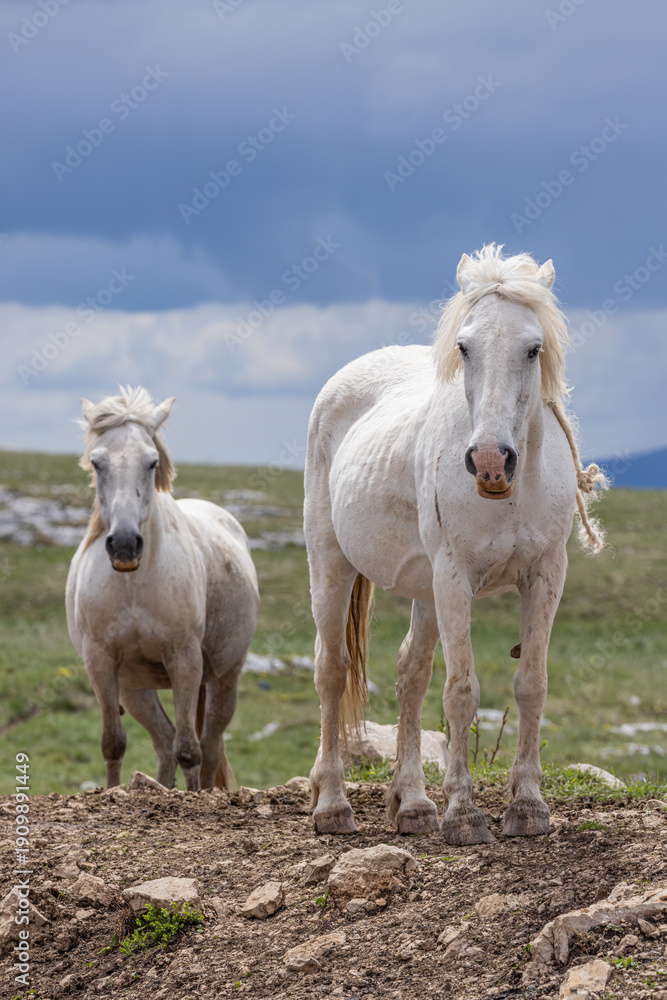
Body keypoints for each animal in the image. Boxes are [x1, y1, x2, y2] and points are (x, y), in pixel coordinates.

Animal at [66, 387, 259, 791]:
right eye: (97, 463)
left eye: (152, 461)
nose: (125, 545)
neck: (134, 587)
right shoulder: (100, 660)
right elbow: (114, 743)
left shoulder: (184, 658)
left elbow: (190, 750)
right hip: (136, 688)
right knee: (164, 741)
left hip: (224, 678)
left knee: (209, 745)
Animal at [305, 245, 607, 845]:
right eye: (465, 347)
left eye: (533, 348)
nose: (490, 461)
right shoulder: (455, 576)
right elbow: (462, 692)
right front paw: (464, 814)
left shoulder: (546, 574)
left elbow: (531, 683)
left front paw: (528, 807)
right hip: (332, 563)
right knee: (333, 669)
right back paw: (333, 806)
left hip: (424, 590)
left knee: (411, 673)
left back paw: (413, 805)